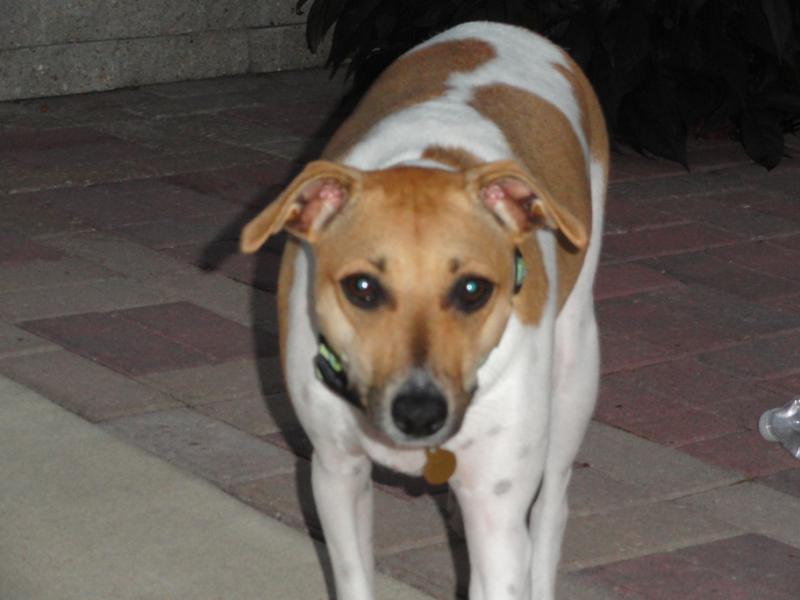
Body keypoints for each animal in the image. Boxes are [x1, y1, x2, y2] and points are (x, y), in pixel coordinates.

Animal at [241, 21, 608, 600]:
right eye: (362, 287)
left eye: (473, 289)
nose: (418, 413)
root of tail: (504, 29)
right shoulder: (336, 472)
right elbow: (354, 576)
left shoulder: (499, 514)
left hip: (575, 374)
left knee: (553, 509)